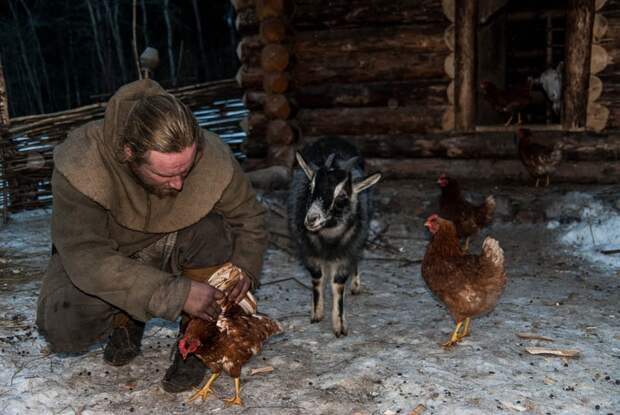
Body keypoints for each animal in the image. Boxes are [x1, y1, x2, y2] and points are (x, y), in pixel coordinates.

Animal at [286, 138, 382, 336]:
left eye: (343, 195)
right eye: (311, 187)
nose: (311, 218)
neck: (328, 241)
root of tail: (333, 139)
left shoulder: (347, 251)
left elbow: (338, 284)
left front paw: (339, 325)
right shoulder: (309, 252)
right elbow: (317, 279)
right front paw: (317, 314)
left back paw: (355, 285)